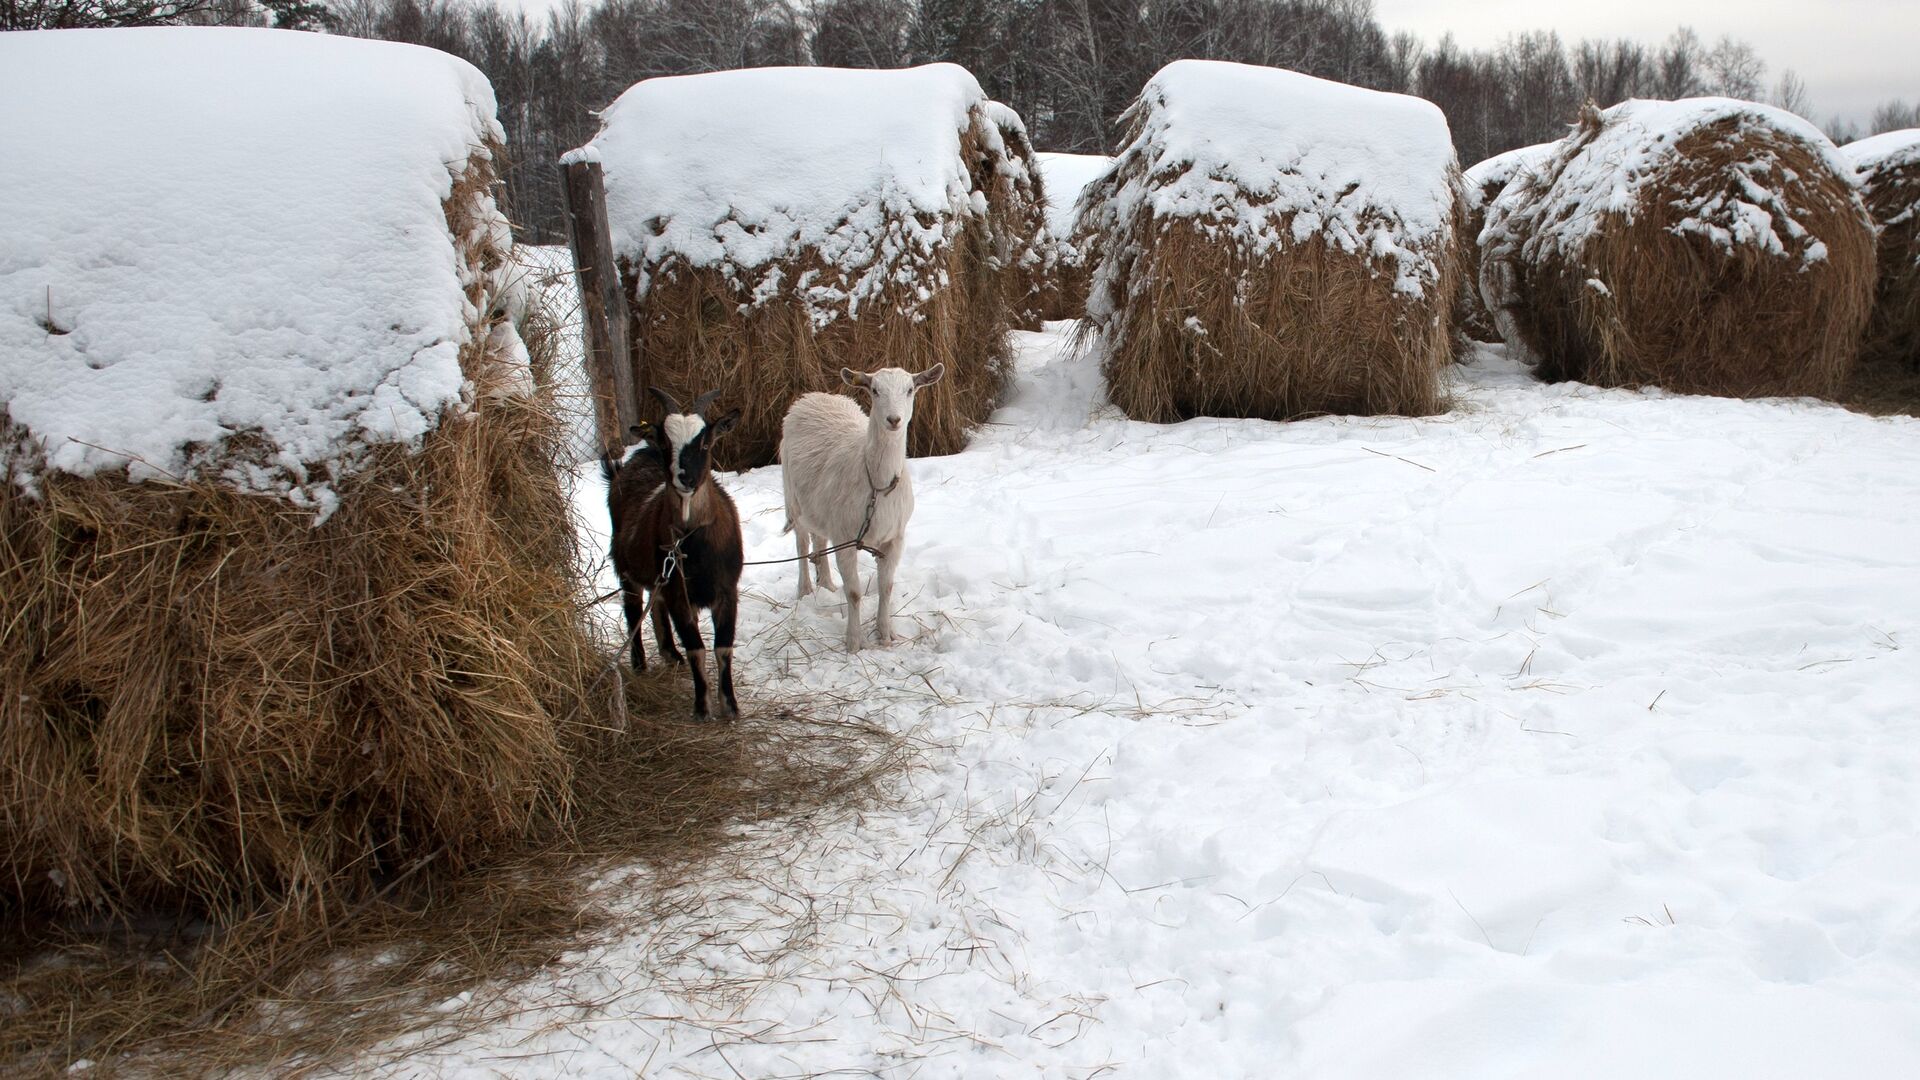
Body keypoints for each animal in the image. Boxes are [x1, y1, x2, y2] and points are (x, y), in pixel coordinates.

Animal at [606, 386, 741, 714]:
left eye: (705, 441)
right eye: (668, 442)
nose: (685, 477)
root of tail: (642, 453)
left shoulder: (727, 590)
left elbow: (723, 648)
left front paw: (729, 705)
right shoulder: (680, 594)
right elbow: (696, 649)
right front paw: (702, 706)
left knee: (655, 603)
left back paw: (670, 653)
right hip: (627, 568)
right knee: (633, 609)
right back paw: (640, 664)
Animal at [779, 363, 944, 645]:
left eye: (910, 389)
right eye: (875, 390)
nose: (893, 420)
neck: (877, 485)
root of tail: (813, 397)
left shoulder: (894, 538)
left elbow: (886, 588)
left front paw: (885, 635)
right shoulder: (845, 537)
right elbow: (854, 593)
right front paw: (854, 642)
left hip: (820, 509)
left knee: (819, 540)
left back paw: (827, 585)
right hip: (793, 499)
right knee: (801, 543)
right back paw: (805, 590)